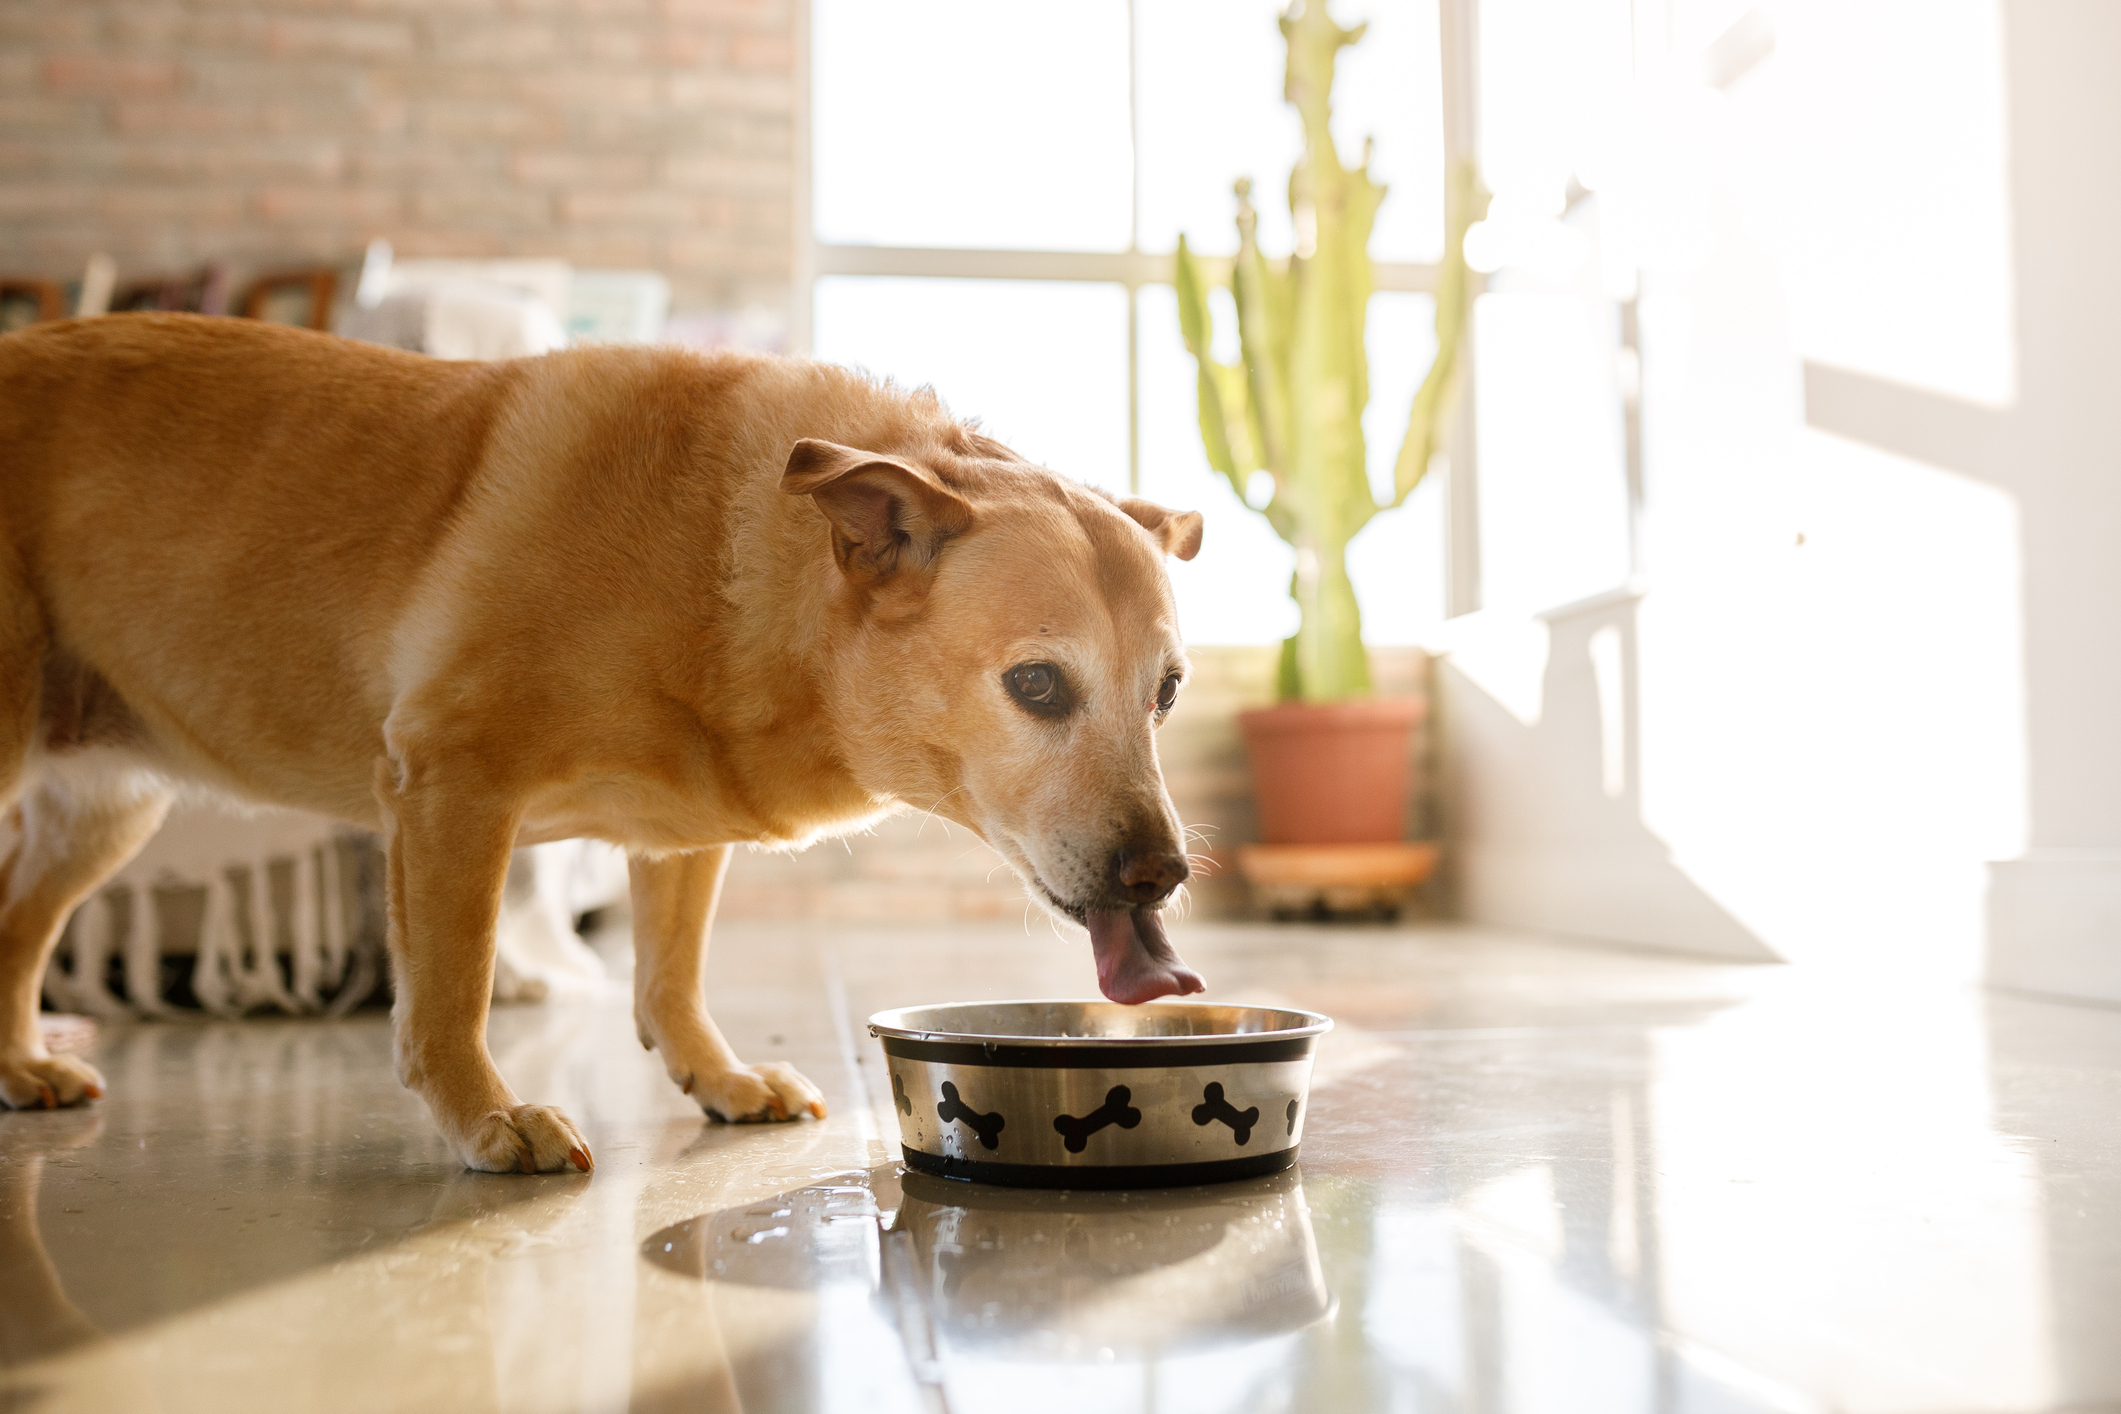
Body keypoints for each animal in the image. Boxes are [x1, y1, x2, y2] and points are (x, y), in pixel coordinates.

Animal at [0, 315, 1213, 1178]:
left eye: (1167, 693)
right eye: (1037, 685)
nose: (1161, 875)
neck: (721, 555)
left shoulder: (675, 838)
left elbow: (669, 977)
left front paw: (718, 1076)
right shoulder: (451, 786)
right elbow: (450, 991)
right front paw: (486, 1117)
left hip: (103, 813)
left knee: (14, 931)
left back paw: (19, 1061)